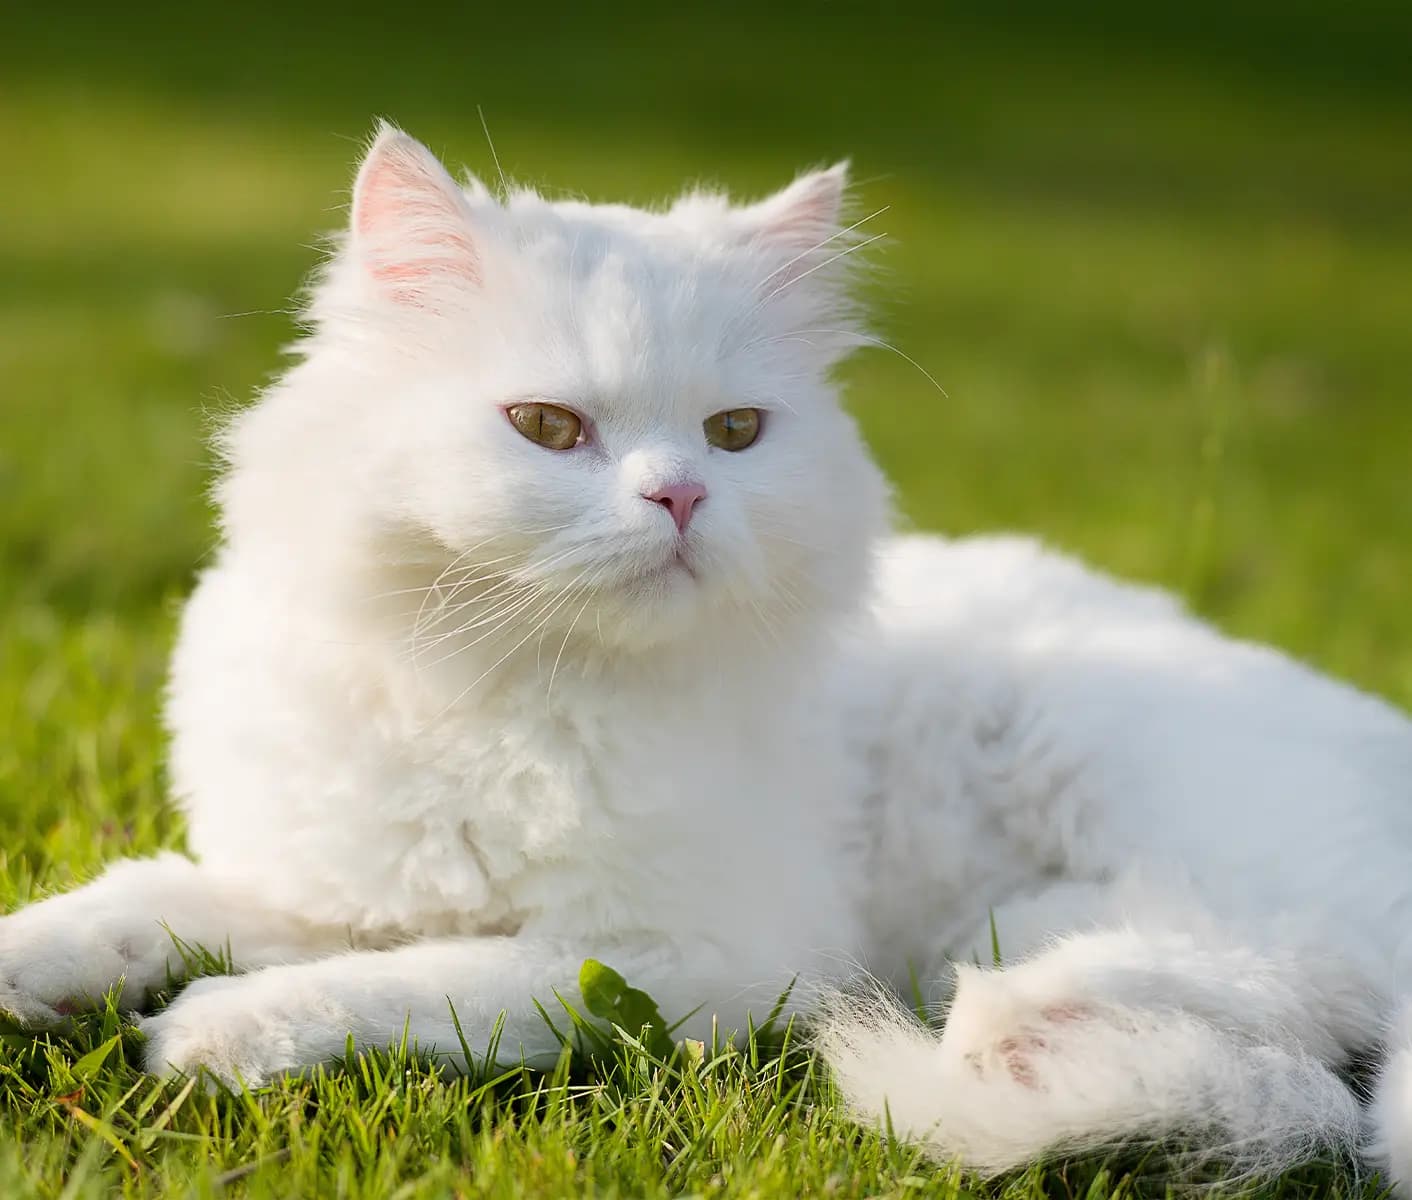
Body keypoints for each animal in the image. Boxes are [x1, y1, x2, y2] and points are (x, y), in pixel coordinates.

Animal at [2, 121, 1412, 1185]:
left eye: (735, 432)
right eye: (545, 428)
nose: (678, 497)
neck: (505, 696)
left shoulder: (688, 962)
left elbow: (411, 986)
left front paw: (209, 1034)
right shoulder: (321, 884)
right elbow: (137, 908)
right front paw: (46, 981)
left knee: (1284, 1007)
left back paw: (990, 1026)